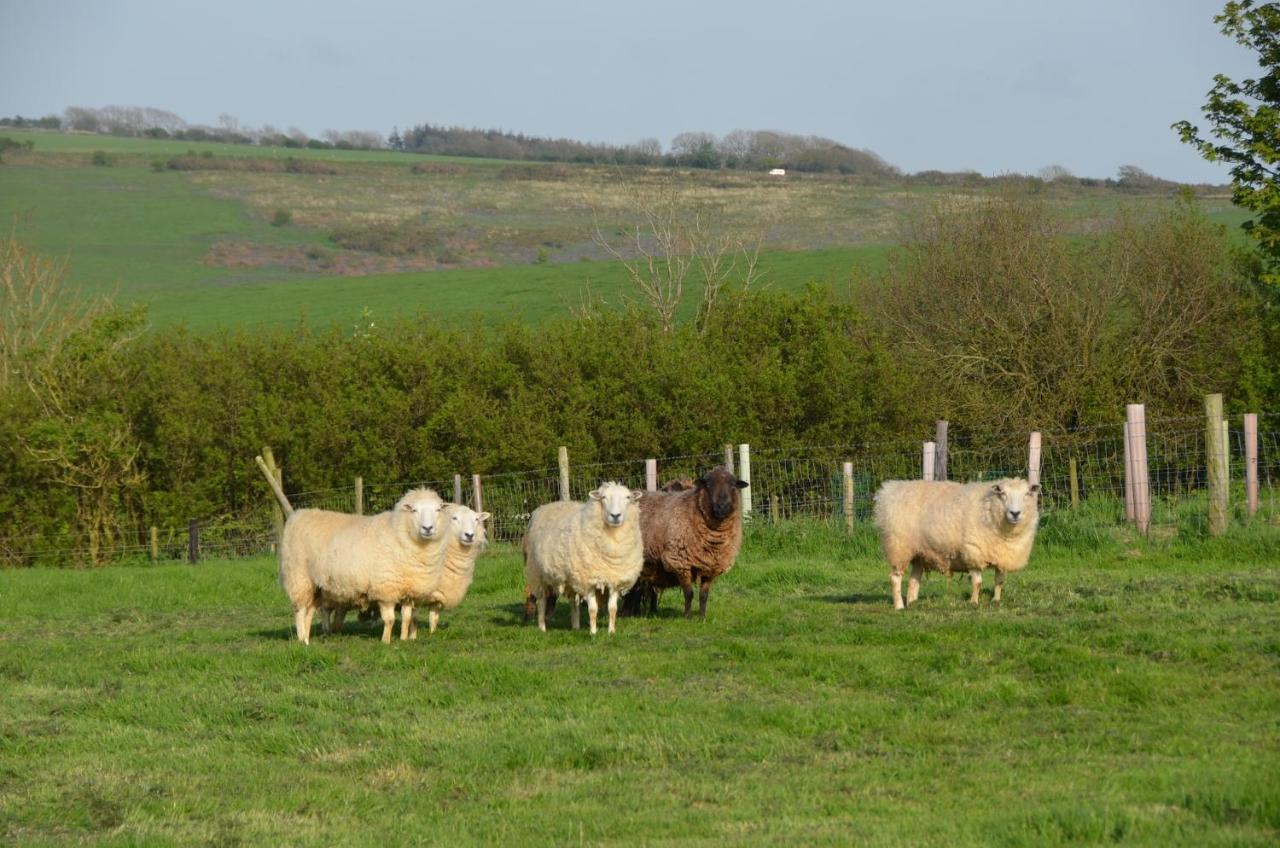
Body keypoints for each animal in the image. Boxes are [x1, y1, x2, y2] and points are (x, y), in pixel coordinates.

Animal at [277, 491, 448, 645]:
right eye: (414, 510)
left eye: (438, 509)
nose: (427, 528)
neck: (400, 534)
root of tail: (298, 515)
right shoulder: (386, 589)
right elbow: (390, 619)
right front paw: (386, 641)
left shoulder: (408, 591)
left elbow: (406, 618)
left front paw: (404, 639)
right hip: (299, 577)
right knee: (300, 611)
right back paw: (301, 639)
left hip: (317, 586)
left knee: (309, 611)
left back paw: (307, 638)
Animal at [519, 481, 640, 635]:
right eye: (603, 497)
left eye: (628, 497)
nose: (615, 515)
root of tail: (542, 508)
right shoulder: (588, 580)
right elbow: (593, 609)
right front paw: (593, 632)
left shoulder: (614, 580)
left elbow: (613, 609)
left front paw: (611, 632)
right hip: (537, 573)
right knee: (541, 600)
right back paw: (542, 627)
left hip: (571, 577)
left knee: (573, 601)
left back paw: (575, 625)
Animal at [622, 468, 747, 622]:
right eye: (708, 485)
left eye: (733, 486)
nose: (721, 508)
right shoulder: (680, 562)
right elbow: (689, 593)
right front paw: (687, 616)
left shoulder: (711, 566)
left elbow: (704, 595)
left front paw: (702, 617)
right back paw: (626, 614)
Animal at [870, 479, 1039, 612]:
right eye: (1003, 494)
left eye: (1027, 494)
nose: (1015, 513)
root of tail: (888, 490)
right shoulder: (973, 552)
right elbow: (978, 583)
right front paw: (973, 602)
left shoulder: (1002, 556)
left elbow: (999, 581)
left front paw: (996, 601)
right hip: (899, 548)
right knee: (895, 578)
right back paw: (899, 606)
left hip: (919, 553)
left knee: (914, 580)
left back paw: (913, 603)